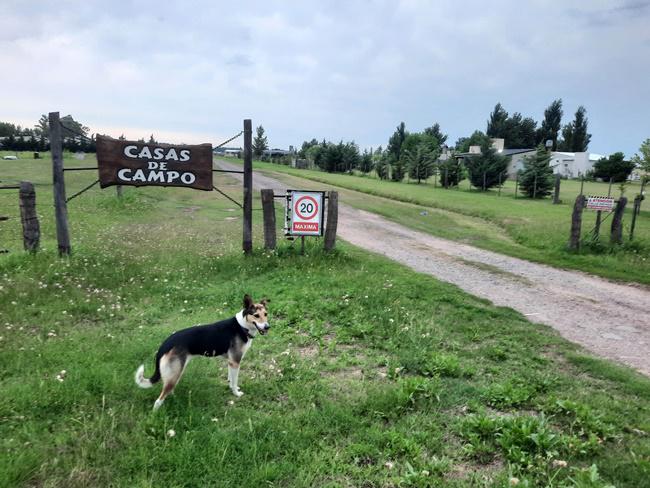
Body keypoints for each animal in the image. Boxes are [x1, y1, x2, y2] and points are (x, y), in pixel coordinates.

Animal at [134, 296, 268, 410]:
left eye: (266, 314)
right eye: (256, 315)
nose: (267, 327)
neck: (242, 326)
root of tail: (165, 344)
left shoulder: (230, 362)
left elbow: (231, 379)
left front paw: (231, 387)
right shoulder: (235, 362)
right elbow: (234, 381)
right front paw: (236, 393)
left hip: (174, 374)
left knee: (168, 390)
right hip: (175, 373)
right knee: (159, 400)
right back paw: (155, 413)